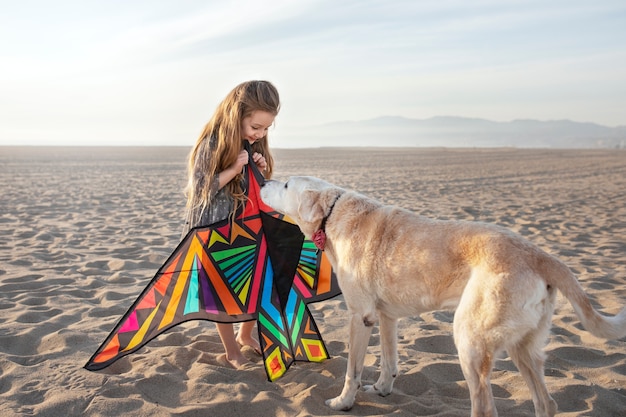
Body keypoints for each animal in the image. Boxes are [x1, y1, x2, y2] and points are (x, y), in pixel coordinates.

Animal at [258, 176, 624, 416]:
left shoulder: (360, 316)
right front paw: (383, 389)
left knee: (485, 407)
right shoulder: (386, 317)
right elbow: (389, 359)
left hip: (470, 340)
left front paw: (343, 403)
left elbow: (353, 370)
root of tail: (541, 256)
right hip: (523, 348)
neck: (334, 210)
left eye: (286, 186)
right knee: (546, 403)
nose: (264, 182)